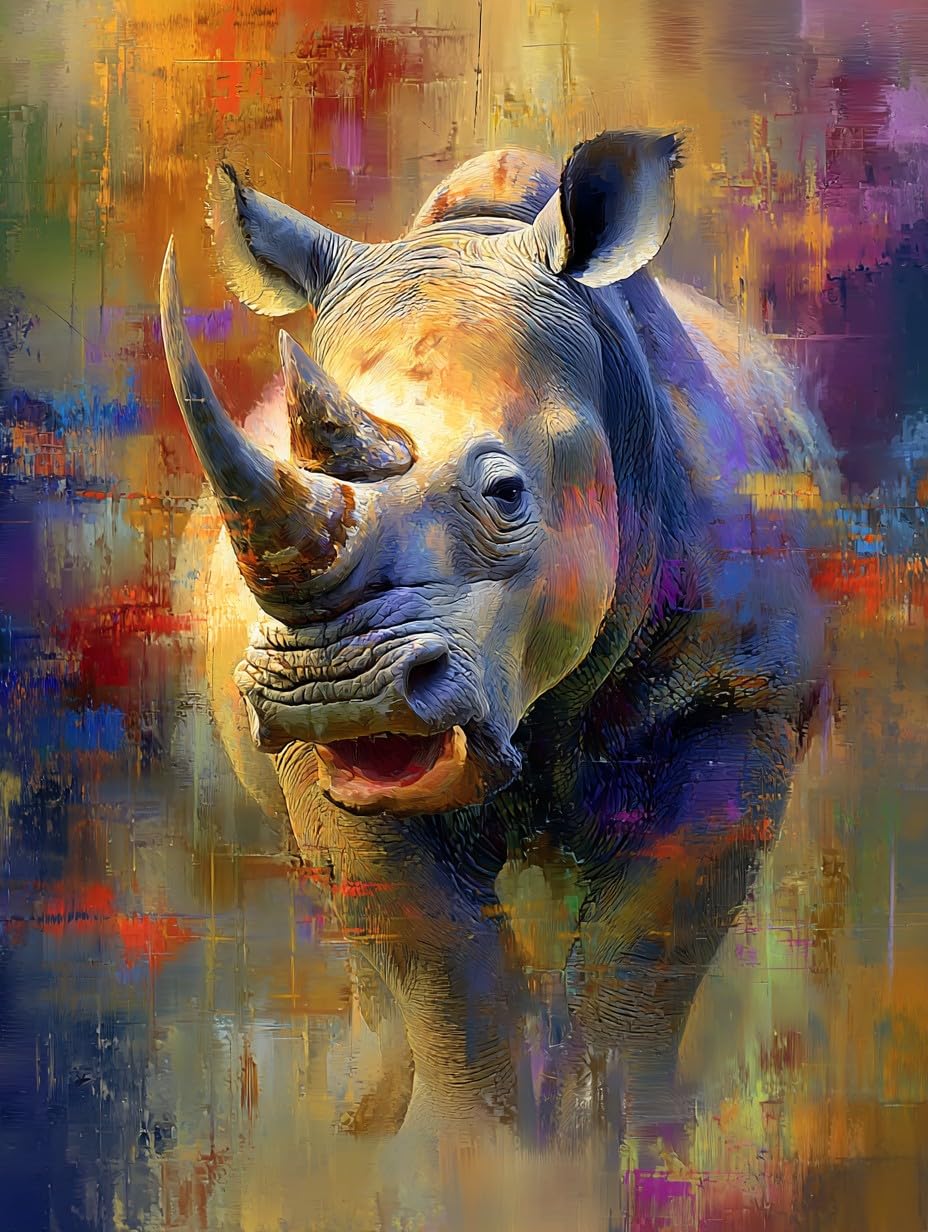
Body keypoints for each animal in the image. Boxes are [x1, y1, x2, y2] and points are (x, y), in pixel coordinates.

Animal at [161, 131, 836, 1154]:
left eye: (508, 495)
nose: (335, 688)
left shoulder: (740, 694)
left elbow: (648, 947)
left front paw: (642, 1147)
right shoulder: (331, 763)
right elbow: (442, 963)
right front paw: (484, 1160)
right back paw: (361, 1123)